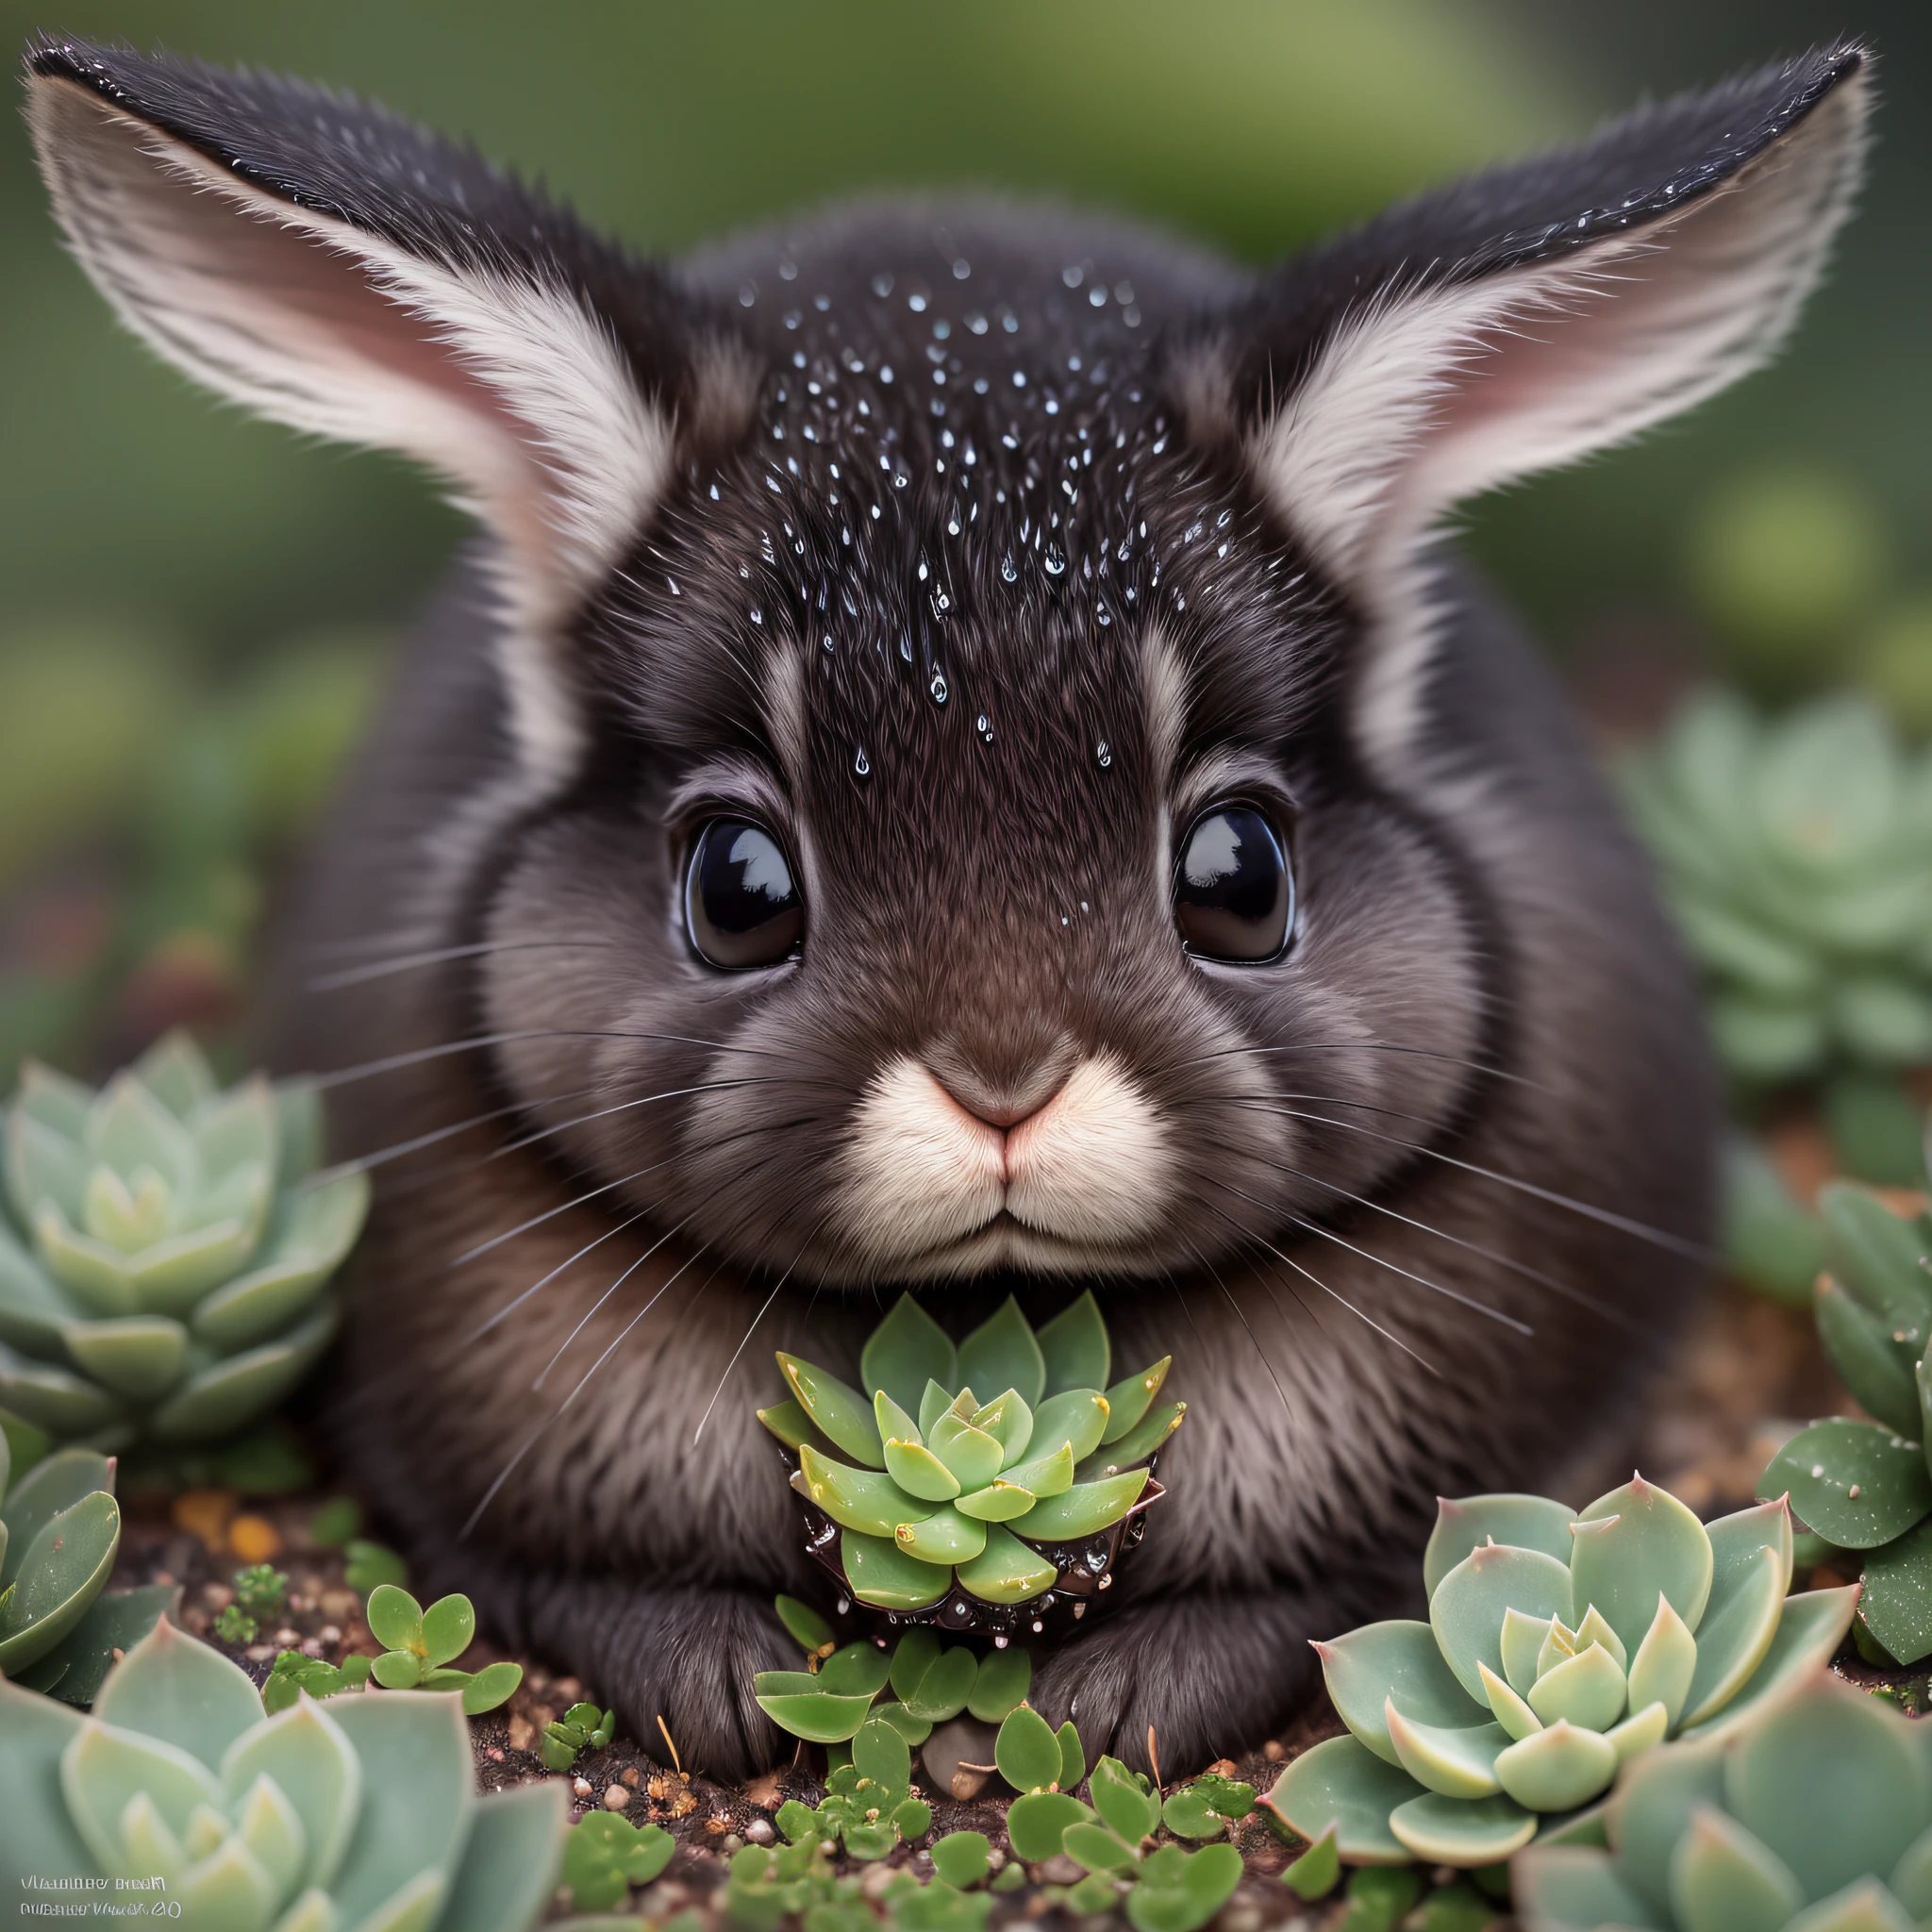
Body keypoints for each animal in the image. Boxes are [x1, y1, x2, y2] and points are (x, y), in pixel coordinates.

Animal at [26, 34, 1870, 1777]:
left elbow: (1325, 1594)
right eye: (736, 885)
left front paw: (1120, 1711)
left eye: (1241, 871)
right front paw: (721, 1694)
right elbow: (556, 1578)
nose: (1002, 1091)